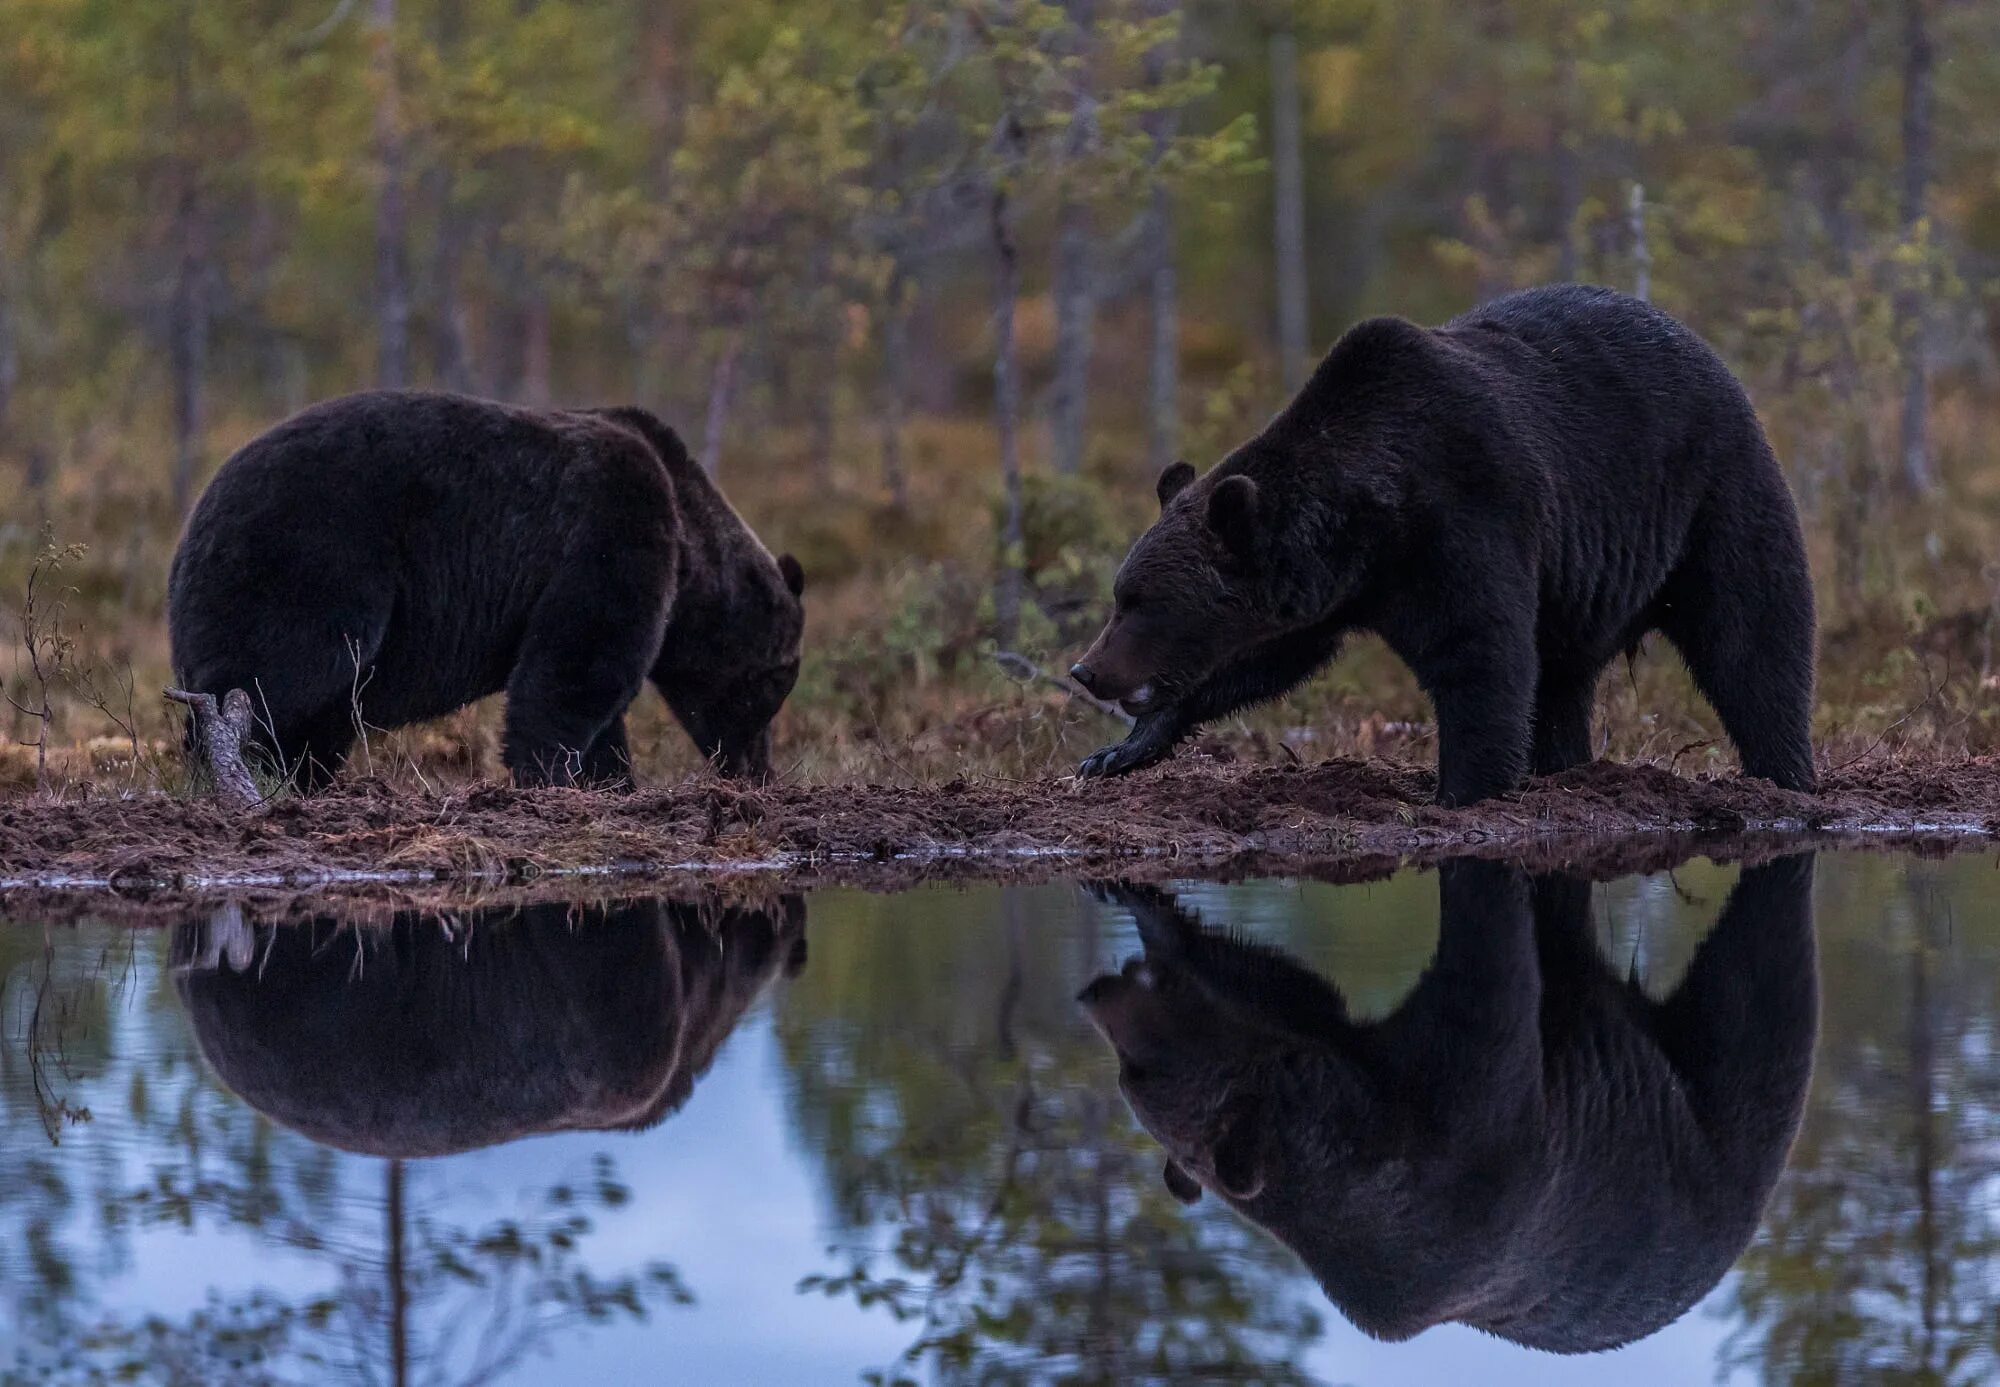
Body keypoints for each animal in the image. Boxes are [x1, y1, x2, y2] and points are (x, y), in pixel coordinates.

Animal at [168, 390, 805, 790]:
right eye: (776, 682)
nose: (757, 771)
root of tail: (194, 517)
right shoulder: (613, 527)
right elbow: (578, 666)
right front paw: (550, 773)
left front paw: (611, 779)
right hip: (312, 555)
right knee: (277, 672)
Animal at [1069, 284, 1817, 805]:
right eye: (1121, 594)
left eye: (1141, 601)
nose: (1085, 670)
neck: (1371, 523)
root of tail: (1707, 349)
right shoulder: (1321, 589)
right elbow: (1261, 658)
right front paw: (1117, 752)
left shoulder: (1465, 515)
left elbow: (1480, 653)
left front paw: (1460, 788)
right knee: (1564, 678)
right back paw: (1564, 764)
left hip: (1713, 492)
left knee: (1751, 635)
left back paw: (1785, 770)